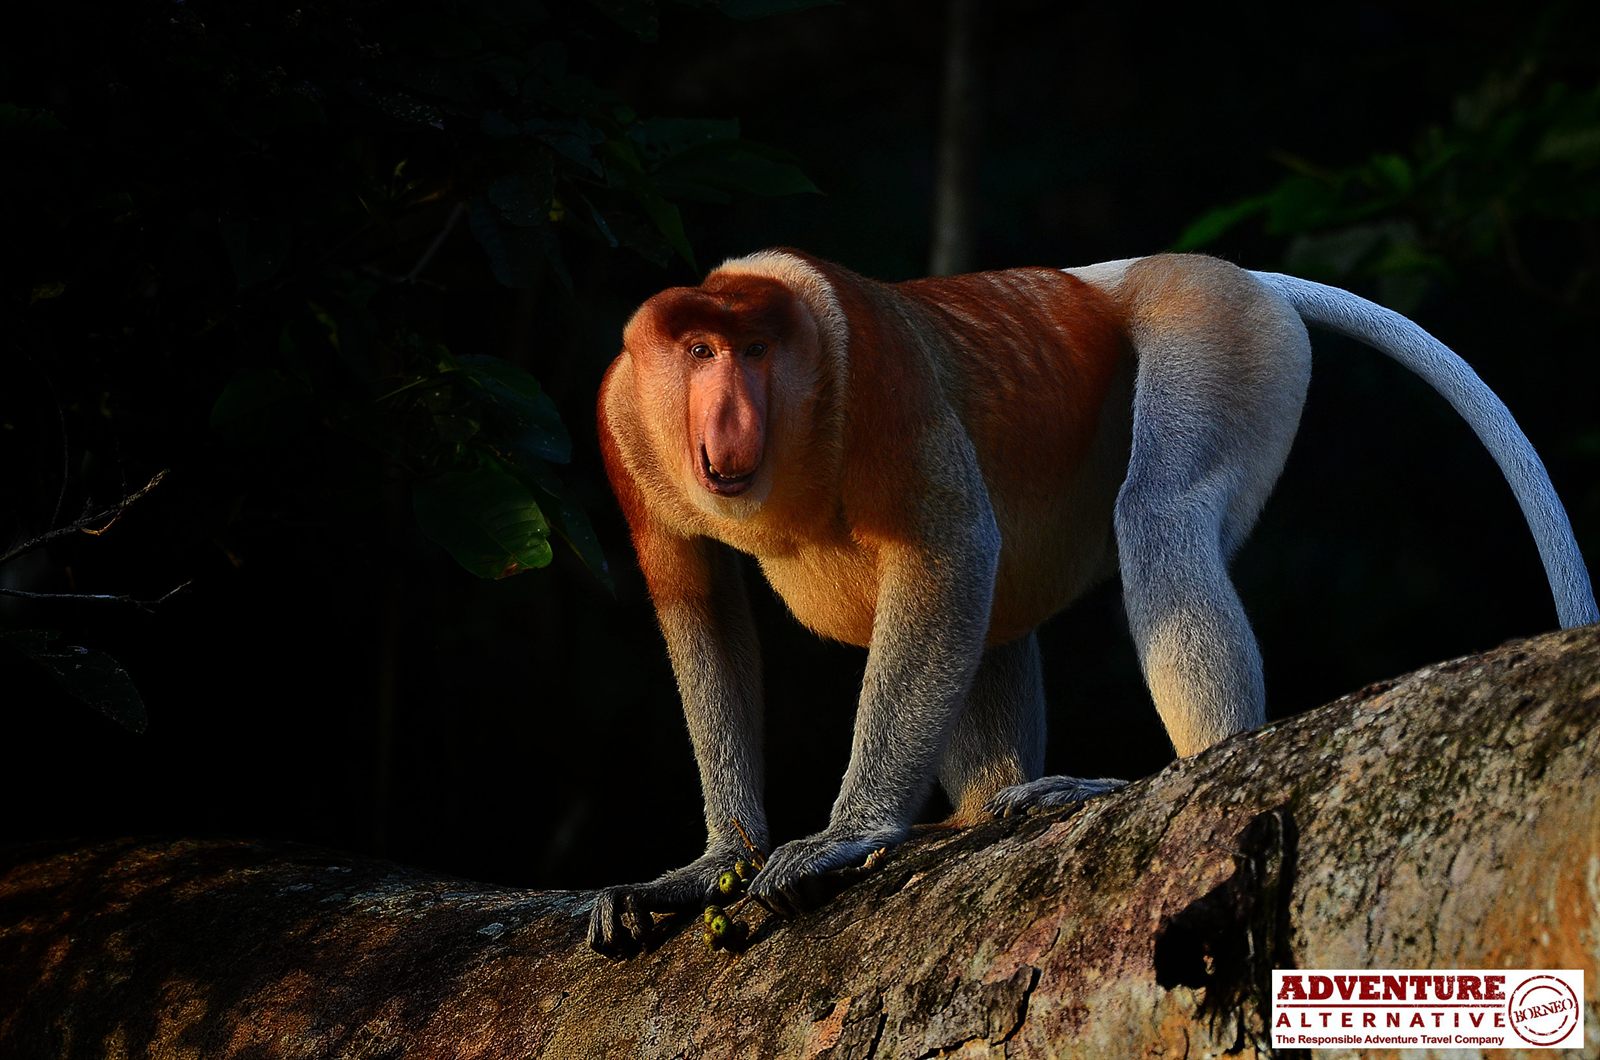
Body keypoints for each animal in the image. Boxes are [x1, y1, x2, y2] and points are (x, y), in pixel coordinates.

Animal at [587, 249, 1597, 952]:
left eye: (755, 351)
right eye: (700, 351)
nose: (730, 416)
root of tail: (1223, 271)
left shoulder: (879, 369)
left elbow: (950, 550)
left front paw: (845, 834)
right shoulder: (625, 419)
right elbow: (698, 605)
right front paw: (708, 866)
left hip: (1218, 329)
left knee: (1159, 510)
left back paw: (1170, 773)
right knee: (999, 616)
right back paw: (985, 810)